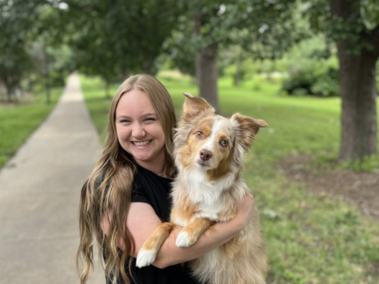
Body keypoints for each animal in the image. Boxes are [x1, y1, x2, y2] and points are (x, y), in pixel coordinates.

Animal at [137, 93, 270, 284]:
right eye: (199, 133)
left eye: (224, 142)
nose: (205, 154)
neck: (203, 181)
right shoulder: (177, 220)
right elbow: (164, 224)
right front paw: (146, 252)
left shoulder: (232, 233)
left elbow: (208, 216)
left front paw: (187, 234)